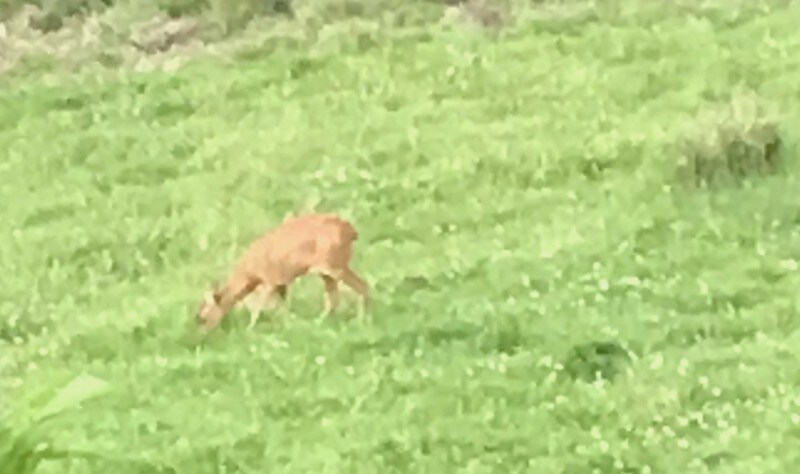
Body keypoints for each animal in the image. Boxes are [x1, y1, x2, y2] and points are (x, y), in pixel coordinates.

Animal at [195, 213, 370, 332]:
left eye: (202, 317)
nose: (203, 333)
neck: (250, 273)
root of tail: (351, 231)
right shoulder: (281, 282)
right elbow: (284, 307)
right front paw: (287, 325)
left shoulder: (270, 280)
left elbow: (258, 308)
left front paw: (249, 329)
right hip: (327, 272)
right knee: (334, 299)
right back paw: (319, 323)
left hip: (335, 265)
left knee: (362, 285)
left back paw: (361, 322)